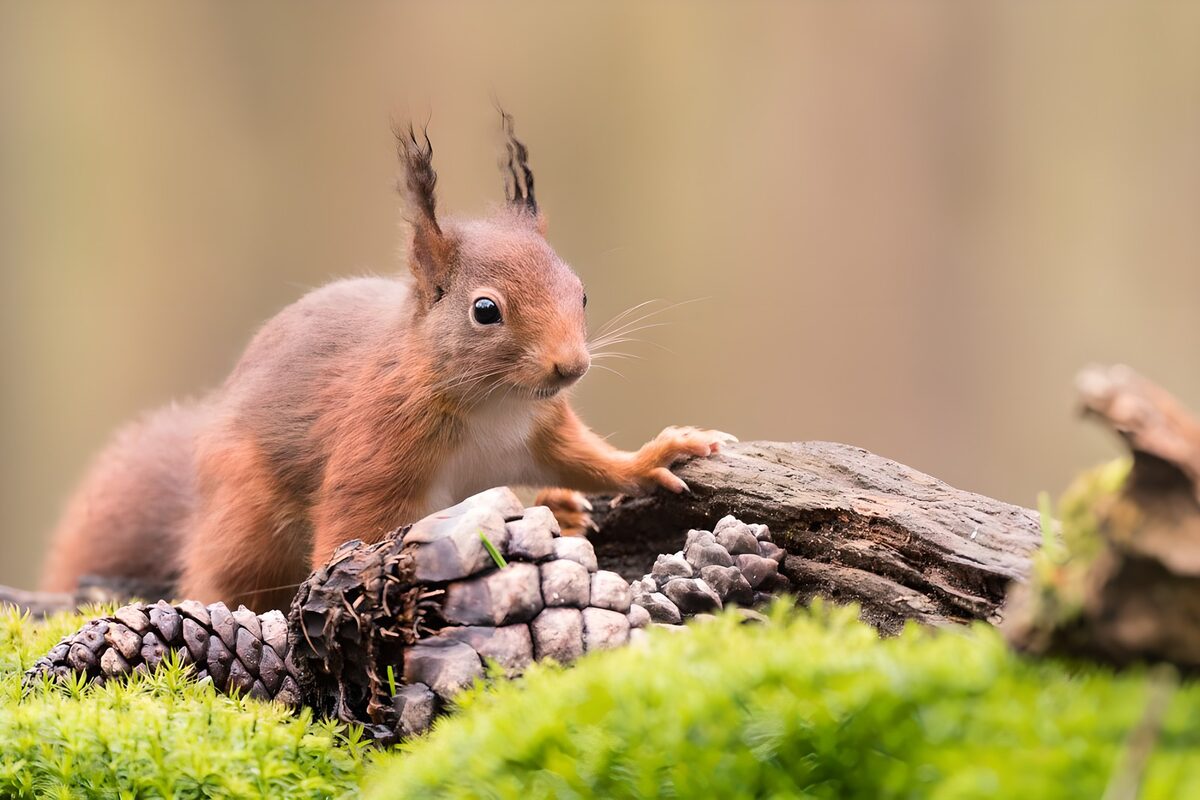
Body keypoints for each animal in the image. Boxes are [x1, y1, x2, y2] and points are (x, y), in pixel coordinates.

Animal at [40, 114, 734, 612]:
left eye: (582, 293)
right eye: (486, 310)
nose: (571, 367)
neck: (491, 405)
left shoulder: (542, 432)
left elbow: (593, 461)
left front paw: (662, 454)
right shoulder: (376, 447)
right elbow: (344, 526)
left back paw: (558, 508)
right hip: (246, 514)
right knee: (222, 577)